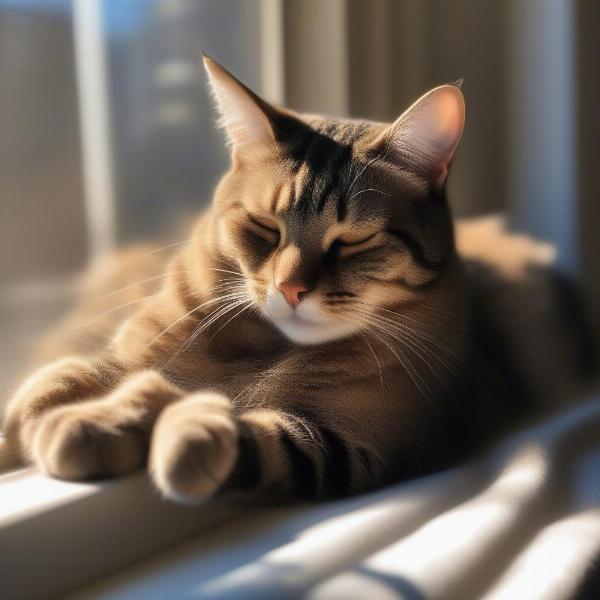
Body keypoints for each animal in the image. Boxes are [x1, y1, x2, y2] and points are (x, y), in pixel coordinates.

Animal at [4, 57, 596, 502]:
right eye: (264, 226)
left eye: (354, 241)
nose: (291, 290)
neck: (265, 346)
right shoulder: (130, 350)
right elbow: (63, 378)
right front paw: (70, 417)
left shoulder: (350, 444)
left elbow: (250, 438)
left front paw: (165, 421)